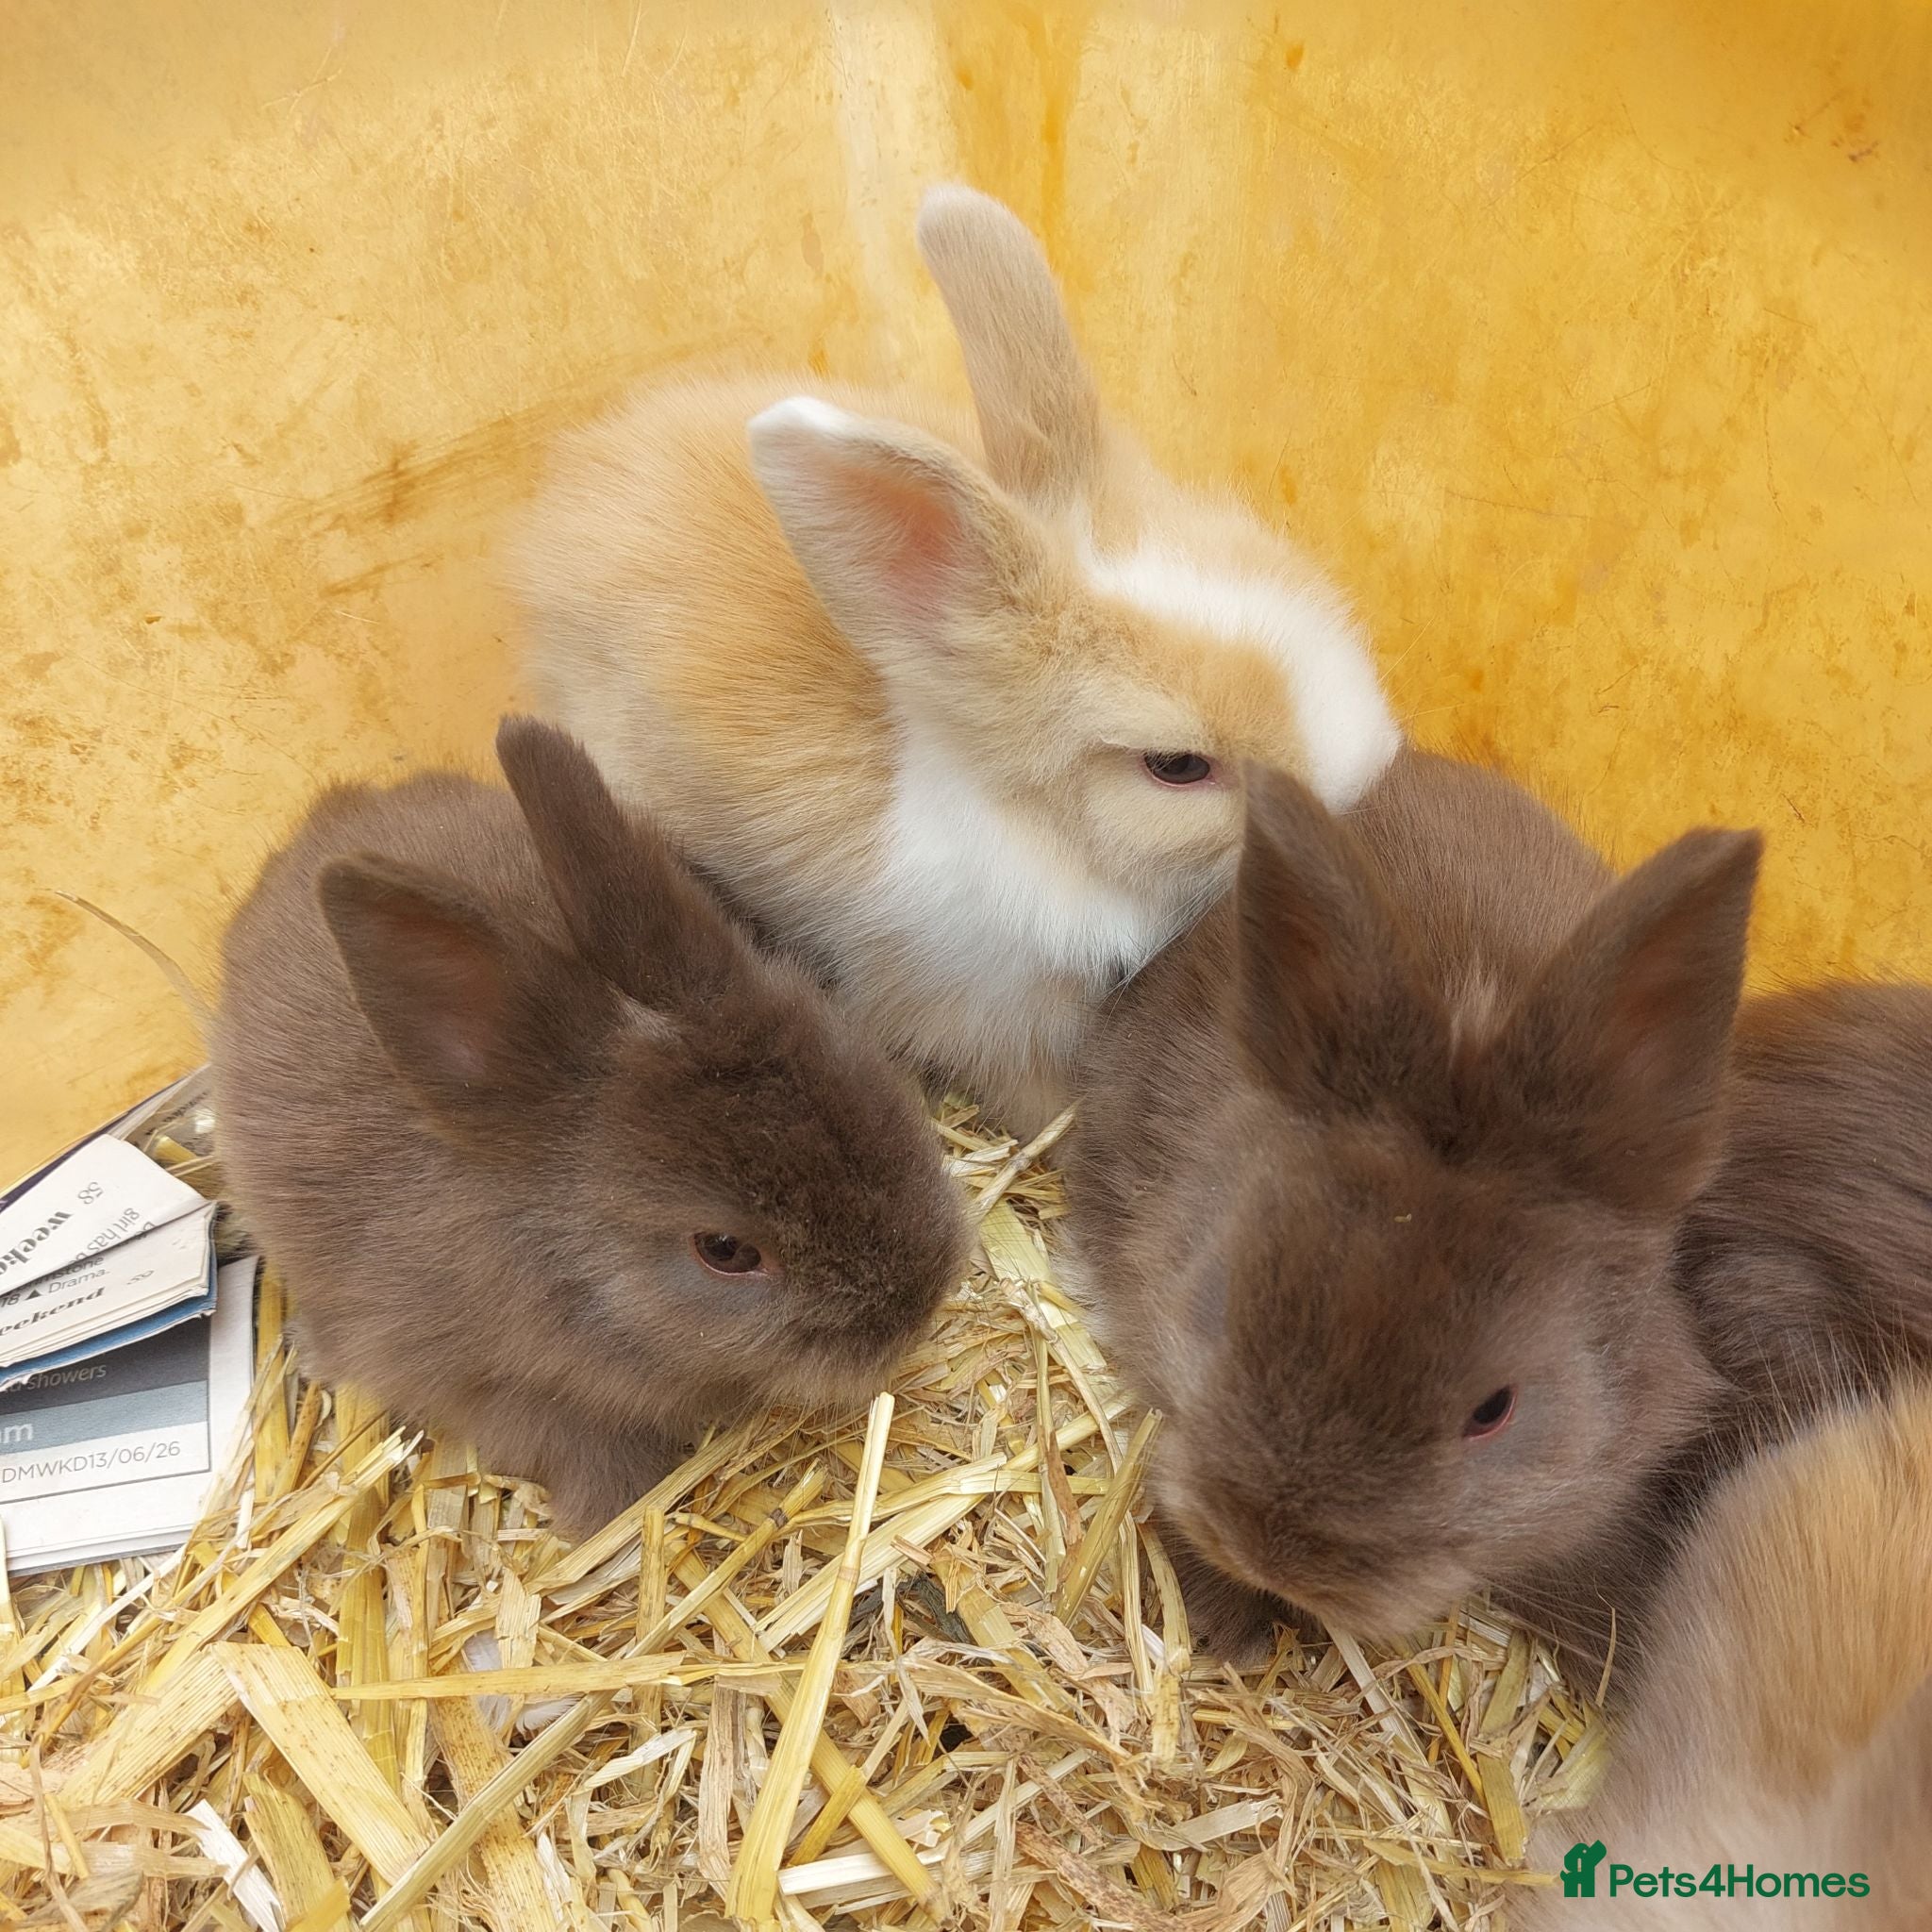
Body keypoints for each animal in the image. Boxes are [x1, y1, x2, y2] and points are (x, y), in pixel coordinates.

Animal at [211, 718, 968, 1535]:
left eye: (869, 1075)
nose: (913, 1314)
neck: (569, 1276)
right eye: (725, 1251)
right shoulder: (490, 1390)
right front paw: (612, 1516)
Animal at [509, 184, 1399, 1133]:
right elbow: (1033, 1087)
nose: (1364, 772)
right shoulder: (980, 1006)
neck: (1040, 835)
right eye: (1177, 765)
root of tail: (556, 516)